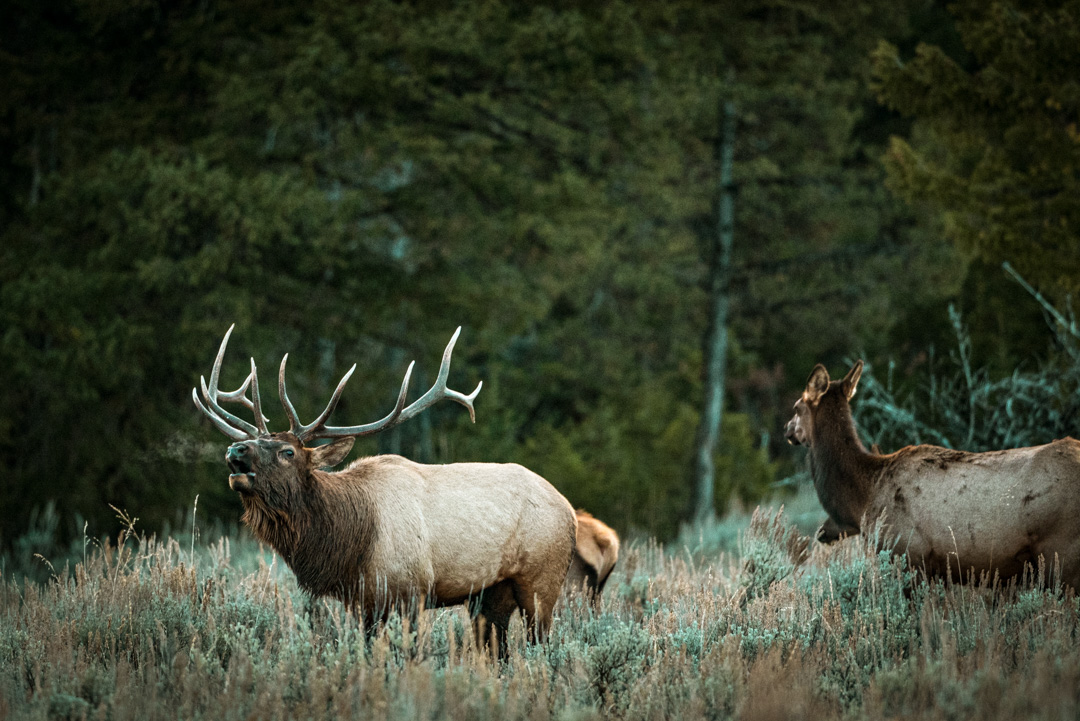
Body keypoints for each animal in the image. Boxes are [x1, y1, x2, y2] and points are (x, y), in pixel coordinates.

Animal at [194, 325, 583, 651]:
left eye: (287, 452)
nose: (235, 450)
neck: (352, 540)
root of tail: (570, 511)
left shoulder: (411, 592)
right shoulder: (363, 603)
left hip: (542, 581)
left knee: (539, 645)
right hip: (491, 593)